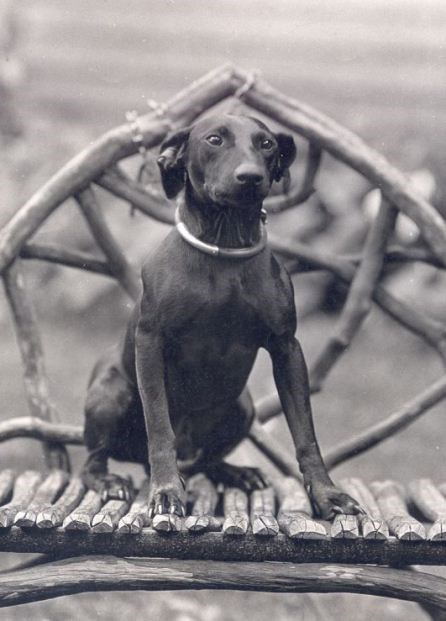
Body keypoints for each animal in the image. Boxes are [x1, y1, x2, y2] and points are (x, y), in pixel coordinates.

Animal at [82, 112, 360, 520]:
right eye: (214, 139)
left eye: (267, 144)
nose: (251, 177)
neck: (224, 247)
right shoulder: (150, 343)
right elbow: (159, 428)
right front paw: (166, 492)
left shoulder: (287, 349)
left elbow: (306, 435)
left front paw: (327, 495)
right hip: (110, 394)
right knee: (96, 460)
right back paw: (111, 480)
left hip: (243, 408)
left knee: (208, 461)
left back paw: (235, 472)